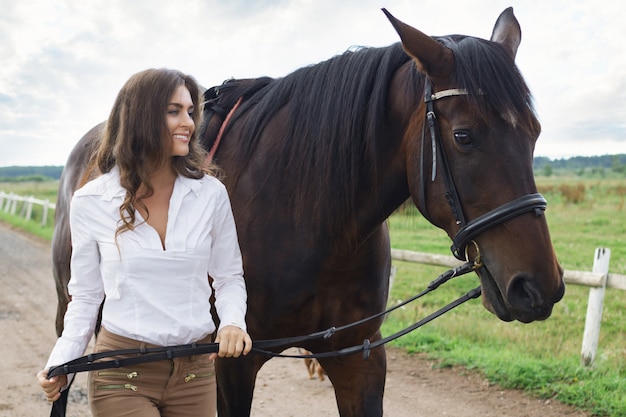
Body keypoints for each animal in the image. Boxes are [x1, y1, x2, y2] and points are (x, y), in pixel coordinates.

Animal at [52, 7, 560, 416]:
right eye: (464, 136)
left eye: (535, 132)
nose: (539, 286)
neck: (311, 223)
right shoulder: (232, 365)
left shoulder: (358, 354)